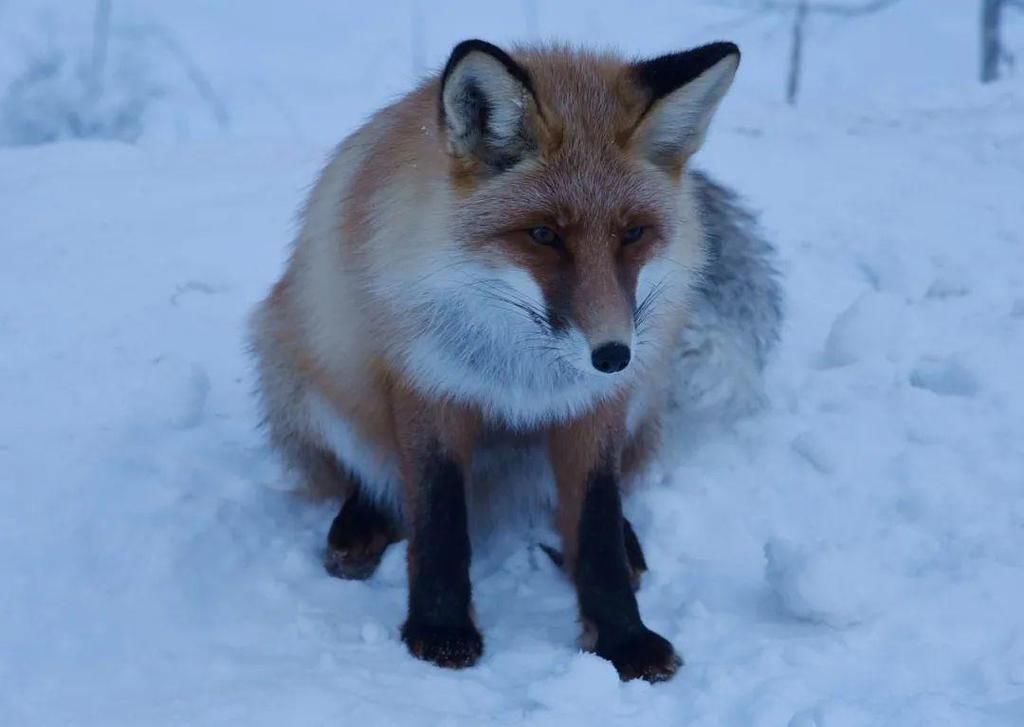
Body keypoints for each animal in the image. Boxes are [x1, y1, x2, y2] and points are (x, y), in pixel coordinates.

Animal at [251, 37, 778, 688]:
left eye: (633, 233)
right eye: (544, 234)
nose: (612, 355)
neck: (524, 375)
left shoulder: (596, 407)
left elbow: (597, 526)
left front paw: (623, 639)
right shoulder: (429, 386)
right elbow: (438, 517)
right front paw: (440, 630)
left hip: (647, 393)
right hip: (305, 373)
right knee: (370, 479)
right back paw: (360, 527)